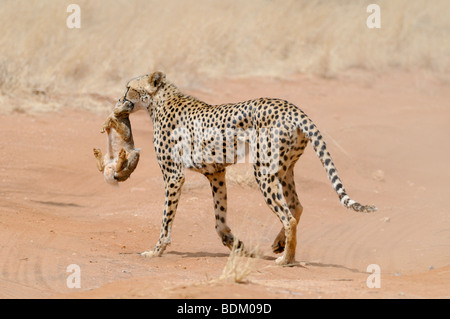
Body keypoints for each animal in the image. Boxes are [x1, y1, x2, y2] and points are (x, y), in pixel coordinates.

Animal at [117, 71, 376, 266]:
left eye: (129, 88)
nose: (119, 100)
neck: (161, 101)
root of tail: (293, 108)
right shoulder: (216, 173)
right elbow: (220, 218)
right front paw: (236, 244)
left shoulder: (174, 175)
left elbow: (166, 218)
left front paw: (156, 250)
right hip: (284, 168)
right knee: (296, 205)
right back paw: (279, 244)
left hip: (263, 171)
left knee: (289, 216)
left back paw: (286, 259)